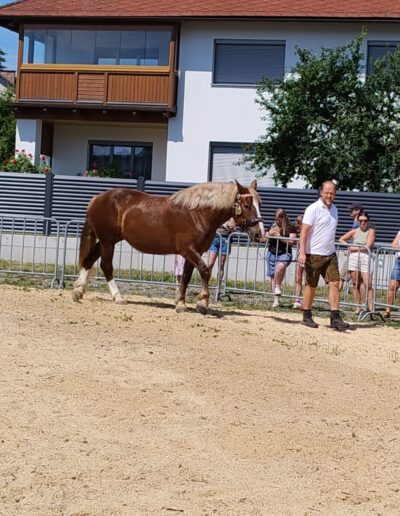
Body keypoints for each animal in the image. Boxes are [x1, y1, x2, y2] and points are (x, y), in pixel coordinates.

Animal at [72, 179, 264, 312]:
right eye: (246, 205)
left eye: (259, 204)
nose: (259, 234)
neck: (198, 213)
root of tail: (96, 198)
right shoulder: (188, 250)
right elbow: (205, 271)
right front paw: (203, 302)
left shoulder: (193, 253)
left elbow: (186, 277)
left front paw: (181, 303)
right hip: (107, 241)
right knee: (106, 265)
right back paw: (117, 296)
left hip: (110, 240)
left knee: (89, 260)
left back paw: (78, 291)